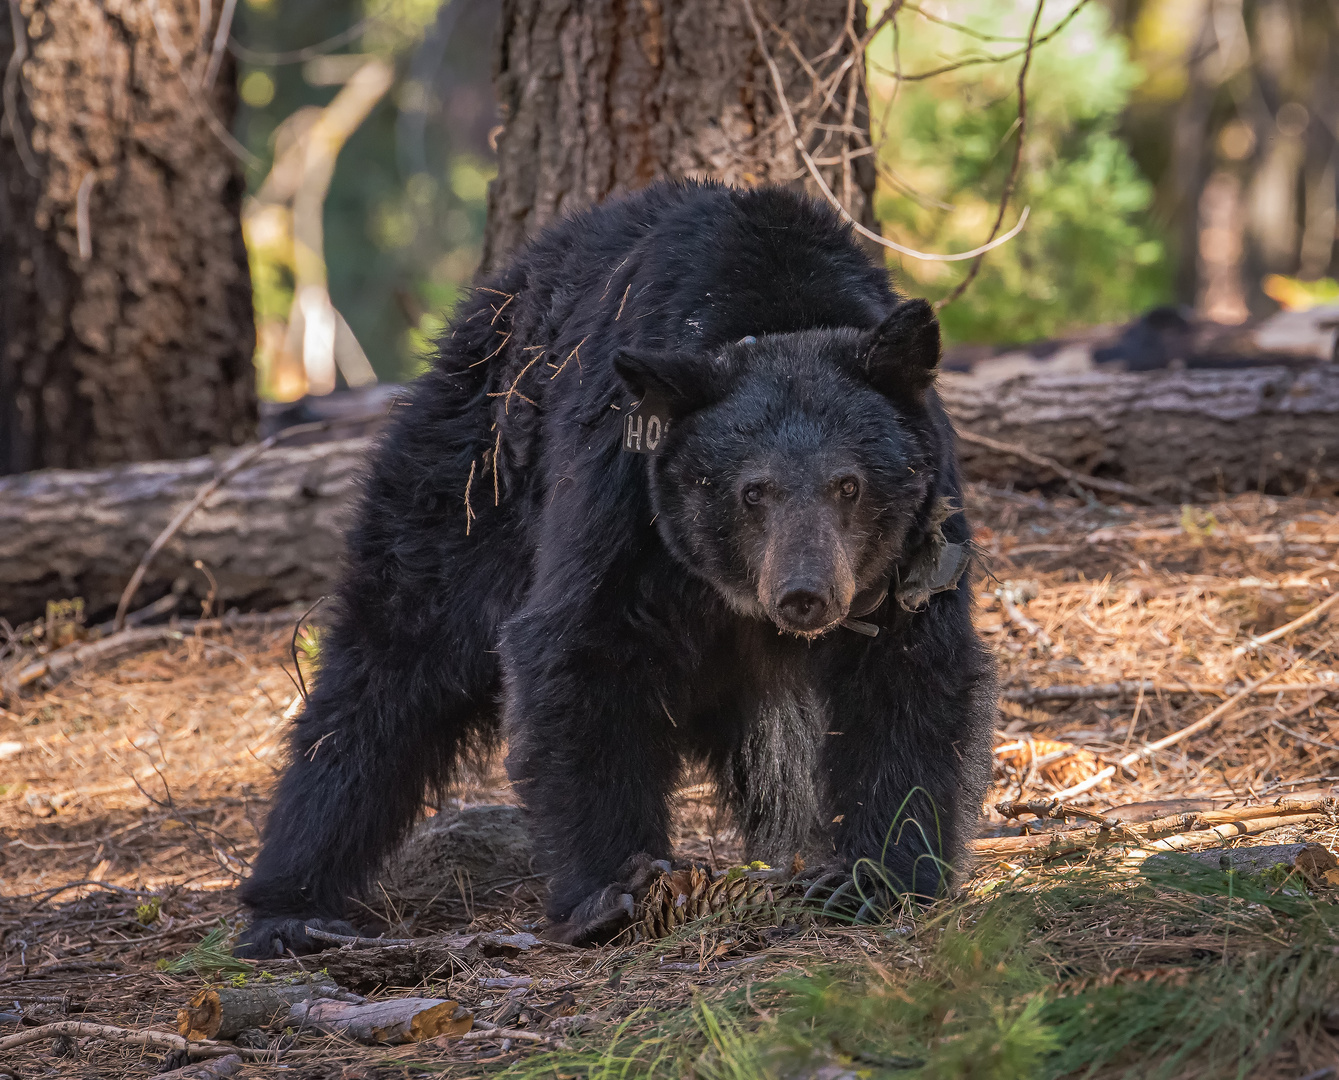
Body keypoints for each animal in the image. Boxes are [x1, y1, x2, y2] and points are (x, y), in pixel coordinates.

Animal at [235, 182, 1001, 958]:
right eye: (751, 491)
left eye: (849, 484)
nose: (805, 595)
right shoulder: (623, 487)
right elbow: (580, 651)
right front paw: (614, 889)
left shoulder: (921, 540)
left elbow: (911, 675)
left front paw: (875, 875)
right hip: (469, 482)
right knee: (388, 670)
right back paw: (291, 905)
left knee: (778, 741)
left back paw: (792, 847)